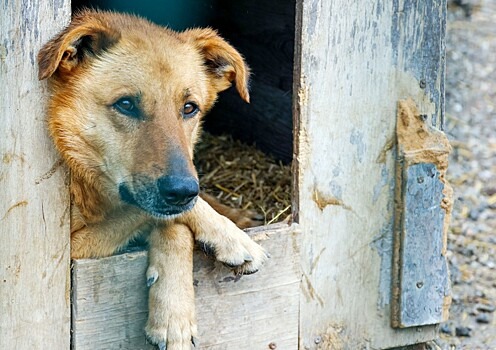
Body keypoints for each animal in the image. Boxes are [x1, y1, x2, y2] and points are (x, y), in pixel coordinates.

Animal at [39, 10, 270, 350]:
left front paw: (174, 312)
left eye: (189, 108)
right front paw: (229, 235)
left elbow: (173, 222)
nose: (182, 190)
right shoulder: (71, 248)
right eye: (125, 104)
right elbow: (150, 212)